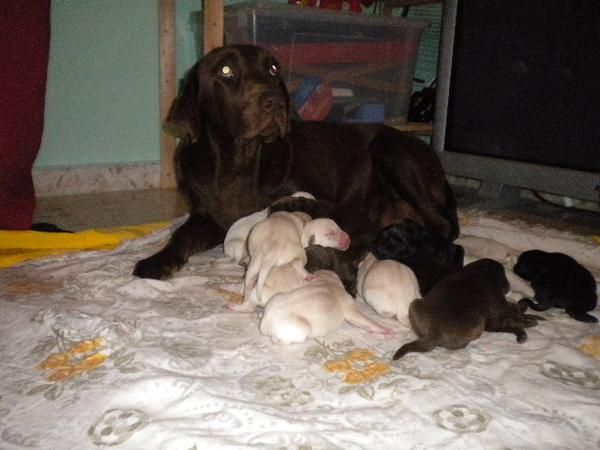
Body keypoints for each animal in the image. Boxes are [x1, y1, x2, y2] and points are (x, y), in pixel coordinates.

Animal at [134, 44, 458, 280]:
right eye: (225, 70)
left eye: (273, 67)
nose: (275, 101)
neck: (239, 161)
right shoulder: (207, 217)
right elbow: (180, 235)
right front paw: (157, 260)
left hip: (389, 148)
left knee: (443, 227)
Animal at [258, 270, 392, 344]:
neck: (328, 282)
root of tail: (265, 321)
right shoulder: (350, 309)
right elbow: (363, 319)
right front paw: (383, 329)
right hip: (300, 329)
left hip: (277, 297)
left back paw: (260, 314)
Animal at [394, 258, 540, 360]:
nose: (508, 286)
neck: (479, 272)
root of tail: (433, 334)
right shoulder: (500, 302)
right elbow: (511, 309)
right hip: (478, 327)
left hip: (414, 304)